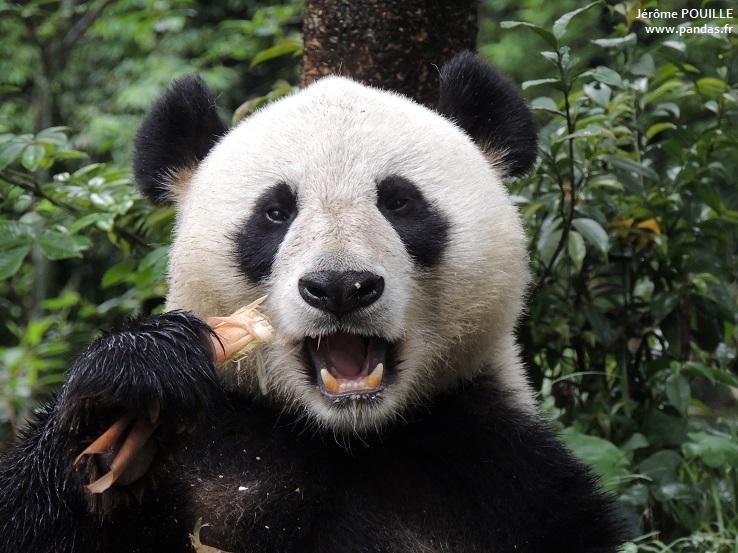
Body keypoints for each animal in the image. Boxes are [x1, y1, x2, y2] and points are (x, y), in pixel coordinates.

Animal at [0, 52, 628, 552]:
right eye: (275, 212)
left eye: (400, 202)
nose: (341, 286)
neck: (349, 437)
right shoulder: (207, 459)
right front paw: (133, 379)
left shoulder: (507, 478)